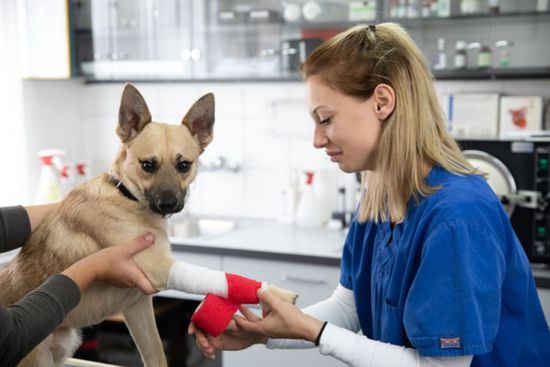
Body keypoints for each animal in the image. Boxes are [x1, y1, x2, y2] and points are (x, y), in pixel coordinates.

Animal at [0, 85, 219, 367]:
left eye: (184, 165)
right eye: (148, 165)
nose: (168, 204)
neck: (126, 196)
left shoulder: (139, 307)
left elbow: (156, 355)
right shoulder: (157, 269)